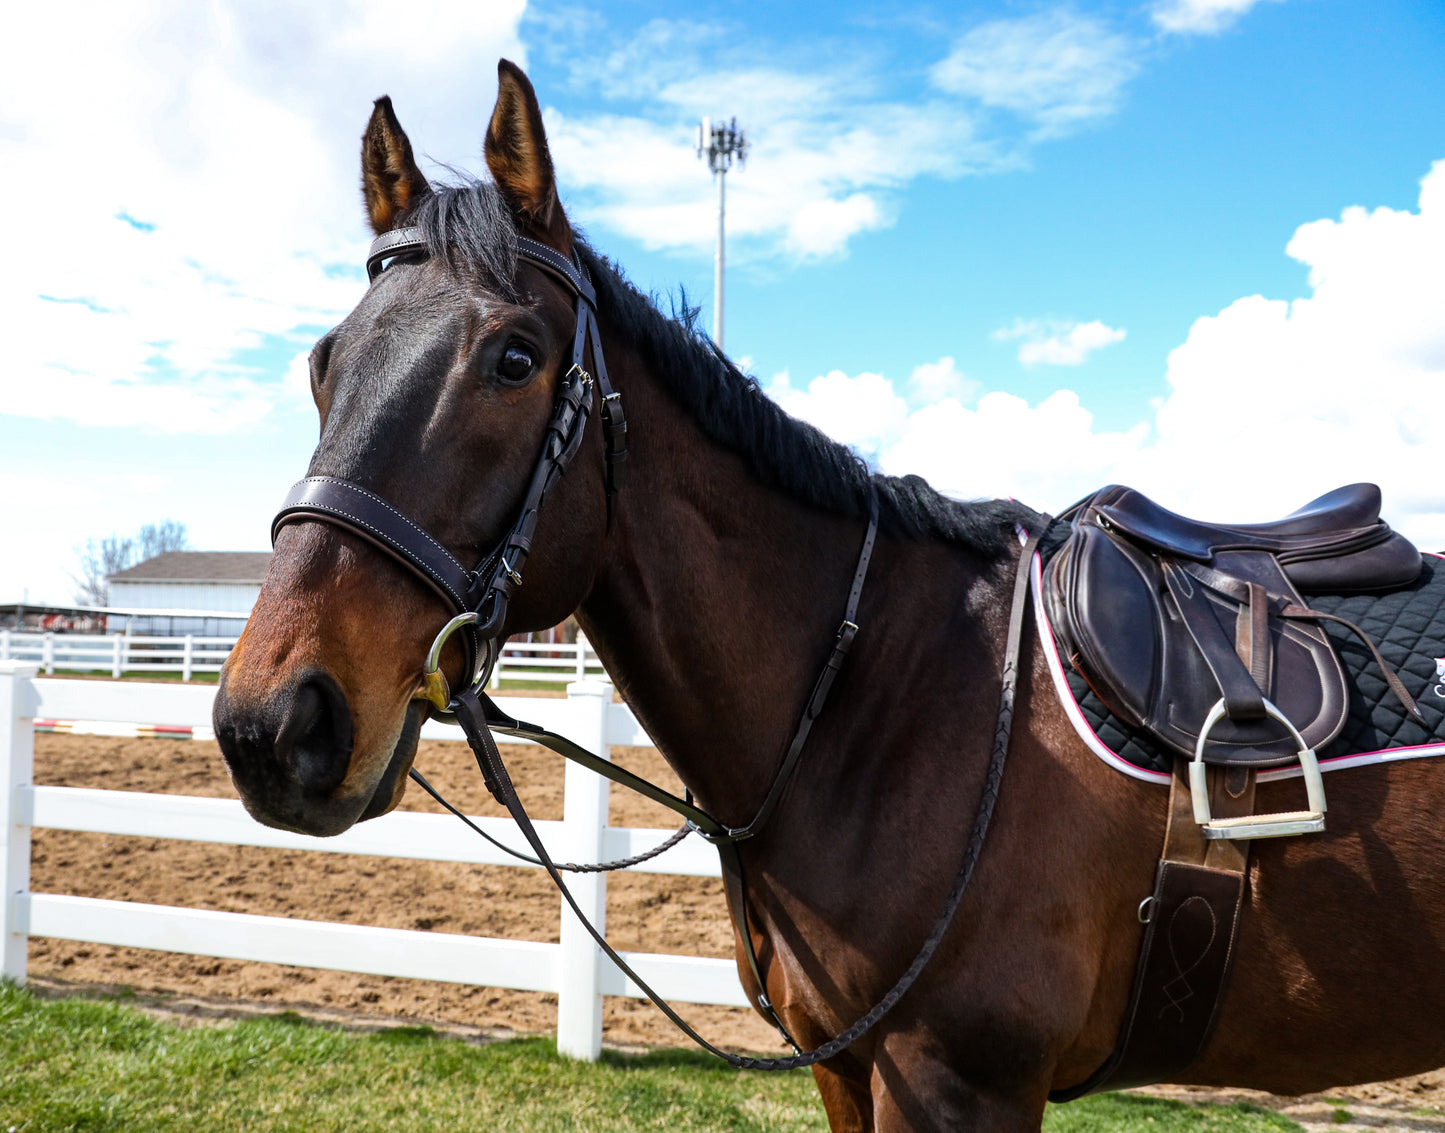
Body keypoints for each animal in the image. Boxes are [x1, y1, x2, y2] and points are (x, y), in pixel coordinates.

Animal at [209, 59, 1445, 1121]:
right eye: (323, 361)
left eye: (513, 359)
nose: (275, 723)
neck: (879, 695)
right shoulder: (849, 1071)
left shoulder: (957, 1084)